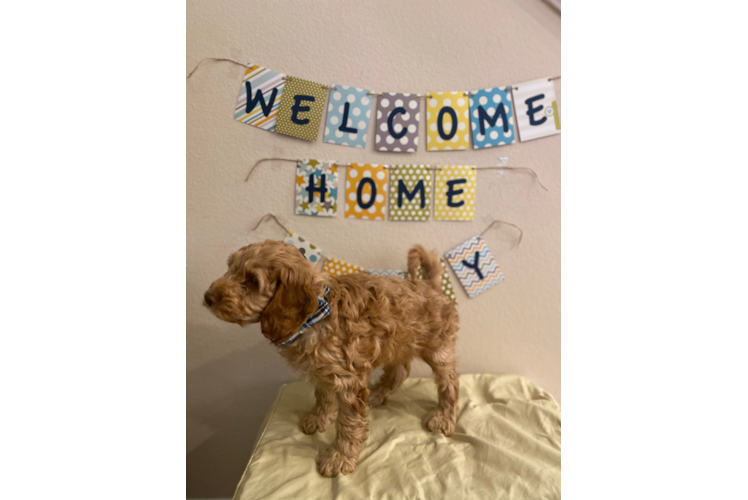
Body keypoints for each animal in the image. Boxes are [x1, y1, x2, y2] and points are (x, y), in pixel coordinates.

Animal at [202, 240, 458, 478]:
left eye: (253, 281)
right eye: (230, 268)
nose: (208, 297)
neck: (314, 315)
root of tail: (429, 284)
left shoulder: (349, 380)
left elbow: (348, 424)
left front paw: (339, 457)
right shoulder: (322, 370)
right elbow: (323, 396)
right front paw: (317, 420)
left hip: (438, 349)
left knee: (450, 383)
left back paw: (443, 418)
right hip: (397, 342)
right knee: (401, 370)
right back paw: (378, 393)